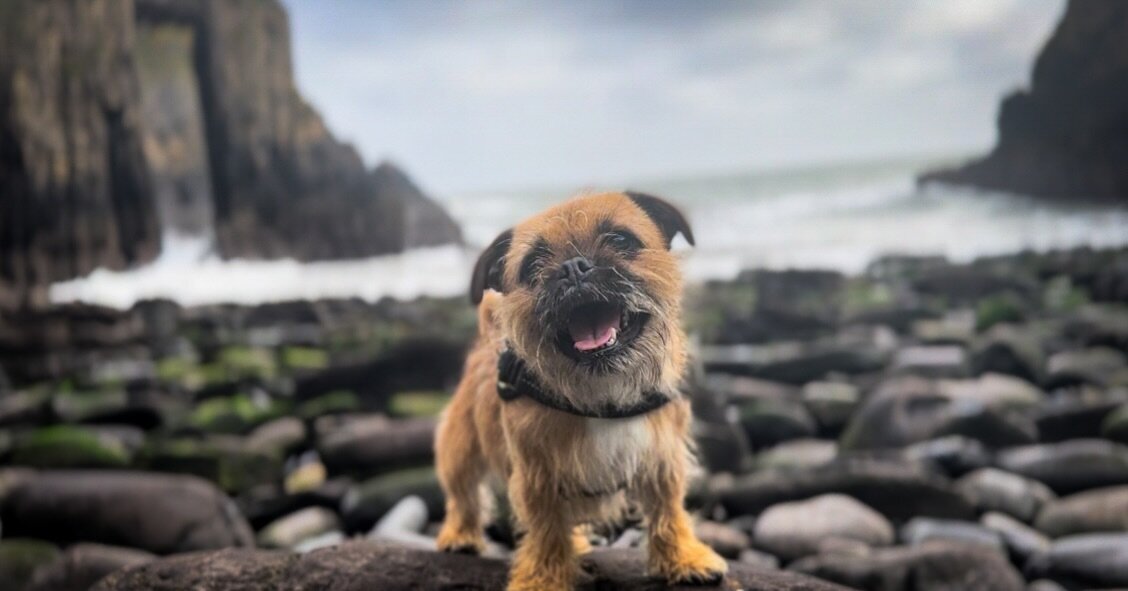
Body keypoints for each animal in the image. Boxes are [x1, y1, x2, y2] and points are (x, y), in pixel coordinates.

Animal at [435, 191, 726, 586]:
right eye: (532, 266)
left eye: (620, 240)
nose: (573, 267)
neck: (602, 395)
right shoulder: (537, 477)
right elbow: (545, 530)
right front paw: (542, 580)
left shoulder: (662, 460)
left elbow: (667, 510)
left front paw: (682, 558)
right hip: (459, 449)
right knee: (463, 494)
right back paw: (460, 536)